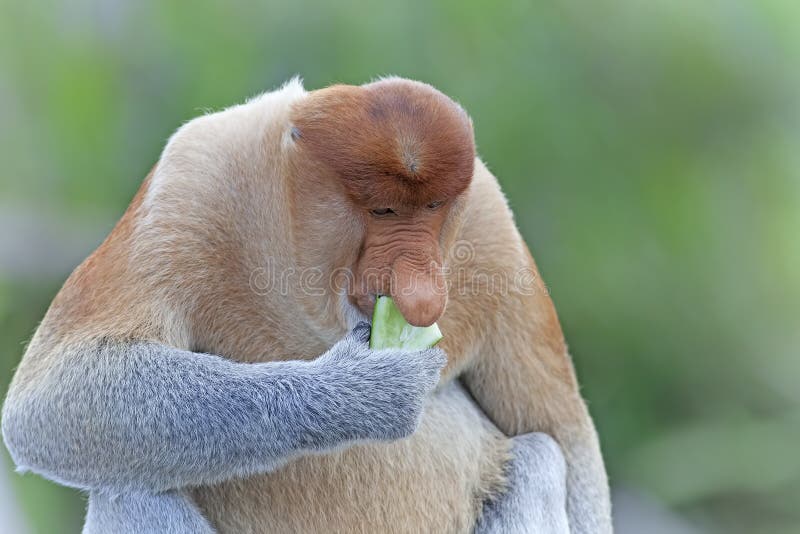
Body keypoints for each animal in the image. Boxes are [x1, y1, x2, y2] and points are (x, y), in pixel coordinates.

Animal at [2, 77, 611, 533]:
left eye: (433, 207)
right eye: (384, 210)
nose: (419, 291)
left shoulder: (491, 228)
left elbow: (566, 433)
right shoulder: (191, 181)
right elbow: (53, 395)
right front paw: (371, 389)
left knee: (540, 458)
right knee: (129, 491)